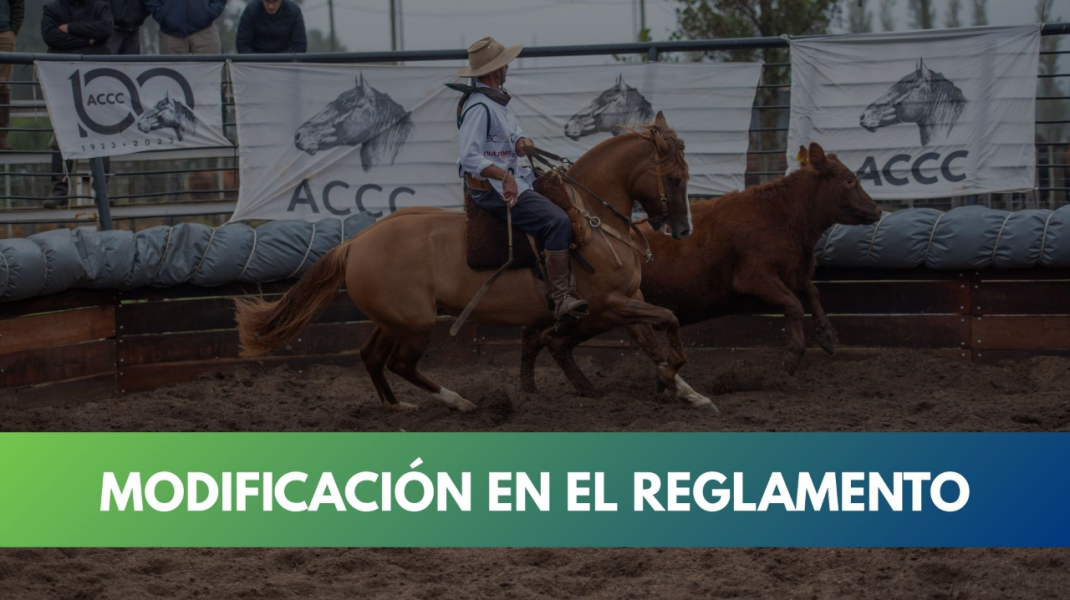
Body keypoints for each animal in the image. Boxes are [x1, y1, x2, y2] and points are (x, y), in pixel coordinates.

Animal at [236, 112, 694, 412]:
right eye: (674, 178)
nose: (684, 230)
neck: (591, 219)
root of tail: (356, 242)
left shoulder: (630, 299)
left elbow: (651, 339)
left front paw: (687, 391)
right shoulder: (610, 304)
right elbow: (668, 320)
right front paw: (669, 378)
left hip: (394, 320)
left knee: (371, 356)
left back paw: (396, 407)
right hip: (417, 324)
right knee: (400, 363)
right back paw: (459, 402)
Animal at [519, 143, 882, 412]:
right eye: (849, 180)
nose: (877, 210)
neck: (783, 216)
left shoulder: (795, 272)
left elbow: (812, 293)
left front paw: (828, 337)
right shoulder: (756, 278)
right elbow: (793, 304)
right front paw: (792, 357)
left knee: (544, 338)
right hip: (601, 312)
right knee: (551, 339)